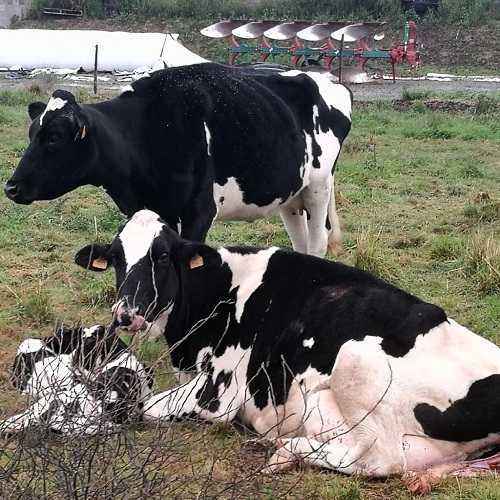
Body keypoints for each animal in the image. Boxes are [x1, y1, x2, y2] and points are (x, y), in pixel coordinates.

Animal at [5, 63, 354, 258]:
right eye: (31, 133)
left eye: (54, 137)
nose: (10, 187)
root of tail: (331, 82)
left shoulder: (199, 212)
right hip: (292, 193)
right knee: (300, 243)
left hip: (319, 186)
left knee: (318, 242)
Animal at [73, 208, 500, 492]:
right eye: (116, 258)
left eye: (161, 256)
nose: (125, 314)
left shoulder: (218, 393)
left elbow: (147, 407)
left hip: (355, 359)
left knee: (381, 460)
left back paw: (286, 450)